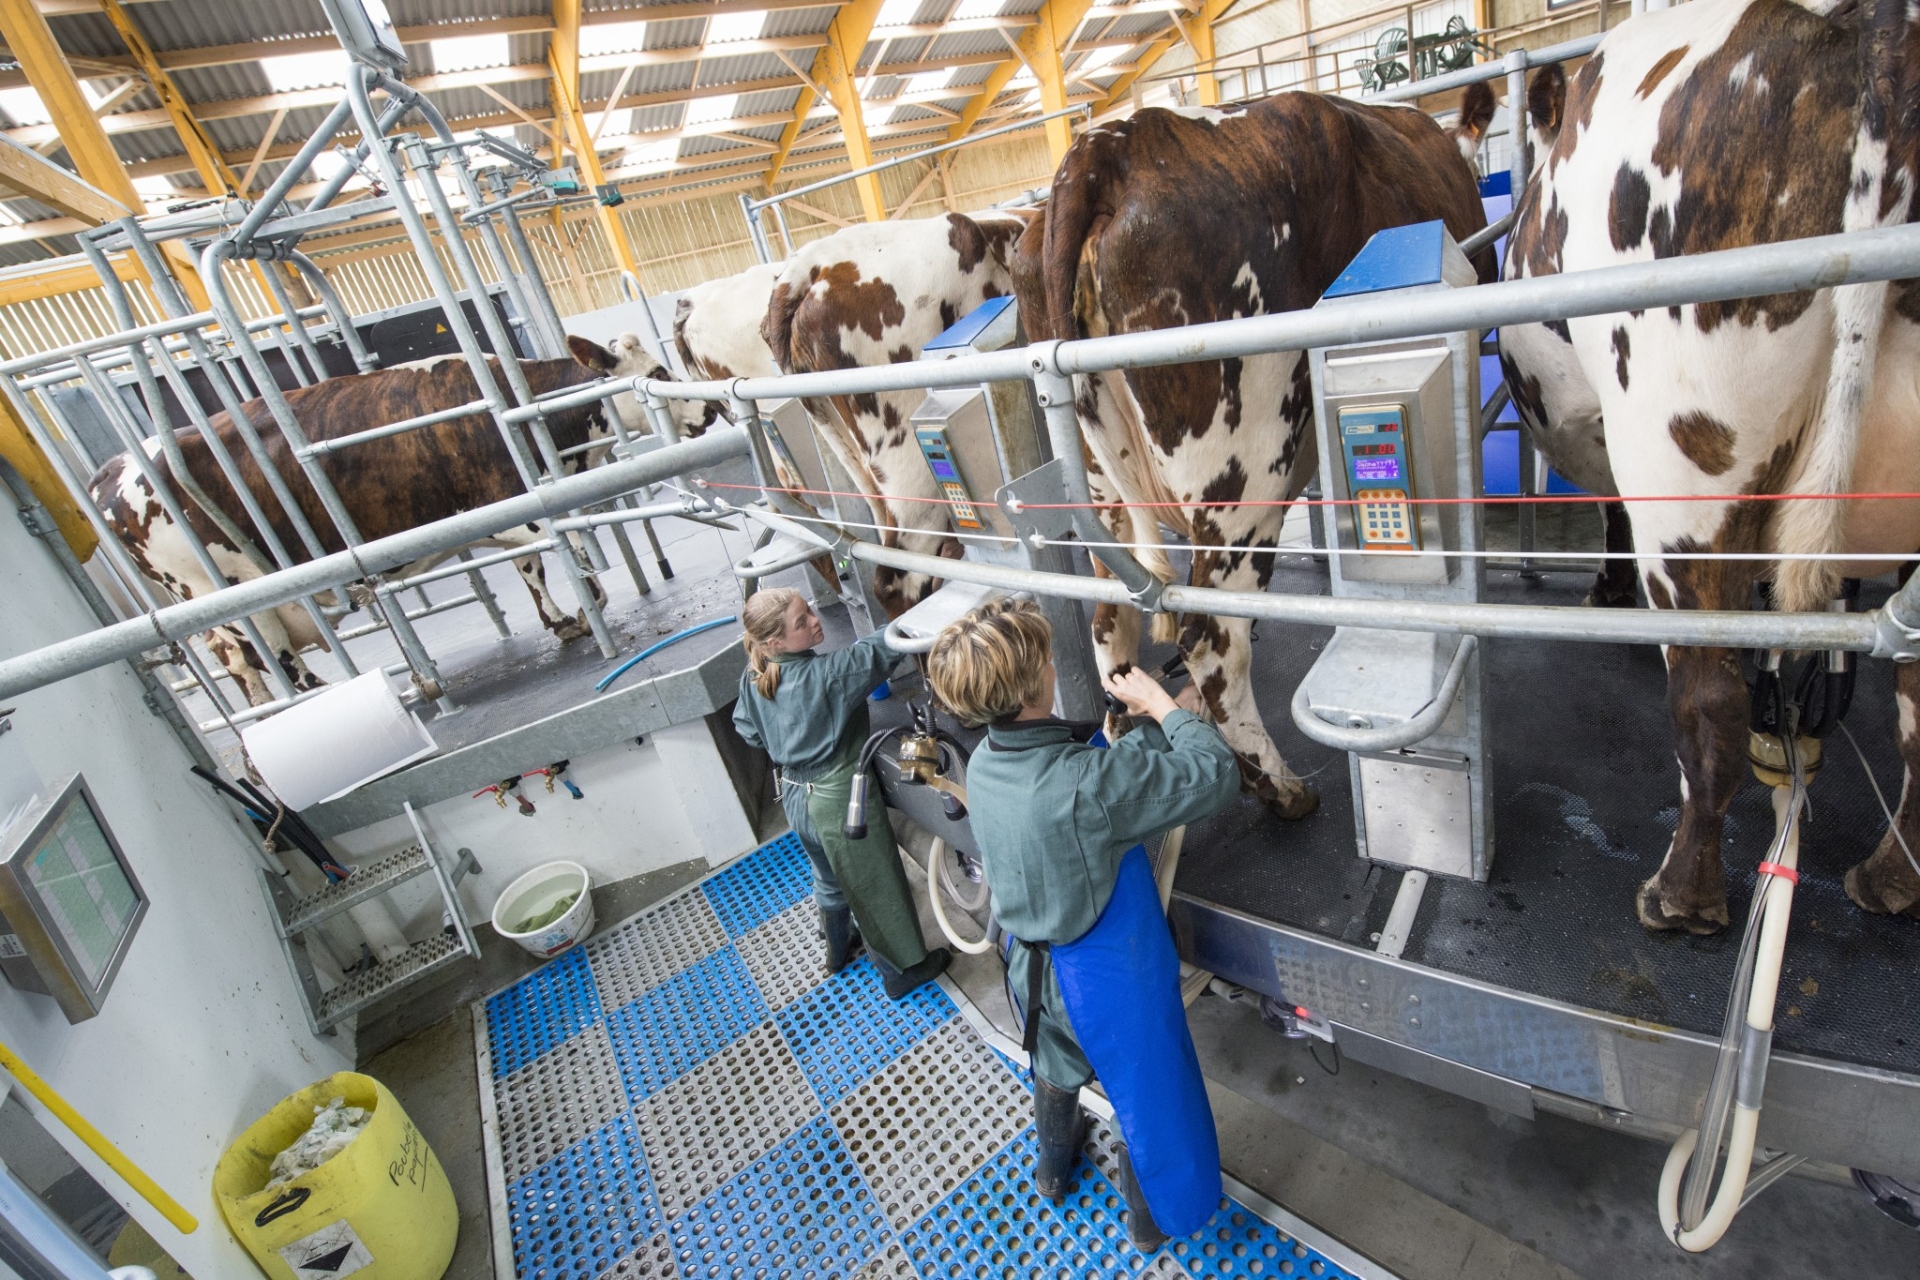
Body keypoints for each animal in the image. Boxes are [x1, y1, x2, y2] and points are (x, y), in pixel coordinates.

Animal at [91, 335, 706, 706]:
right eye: (658, 370)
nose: (710, 411)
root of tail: (113, 469)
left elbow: (542, 565)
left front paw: (568, 616)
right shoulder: (506, 504)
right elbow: (552, 558)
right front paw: (576, 613)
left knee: (245, 667)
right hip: (230, 595)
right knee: (265, 659)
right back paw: (323, 695)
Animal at [1013, 87, 1489, 821]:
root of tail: (1108, 147)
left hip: (1101, 486)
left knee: (1110, 624)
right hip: (1244, 480)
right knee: (1211, 638)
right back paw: (1281, 788)